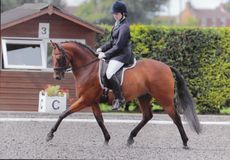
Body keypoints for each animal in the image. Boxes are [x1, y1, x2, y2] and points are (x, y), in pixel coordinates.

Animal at [45, 40, 200, 148]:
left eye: (59, 57)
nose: (56, 76)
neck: (88, 68)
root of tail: (167, 66)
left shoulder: (85, 99)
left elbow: (63, 114)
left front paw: (50, 134)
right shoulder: (93, 101)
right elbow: (99, 120)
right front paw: (107, 139)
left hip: (164, 99)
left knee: (176, 118)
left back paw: (185, 142)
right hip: (143, 97)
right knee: (147, 116)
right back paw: (130, 138)